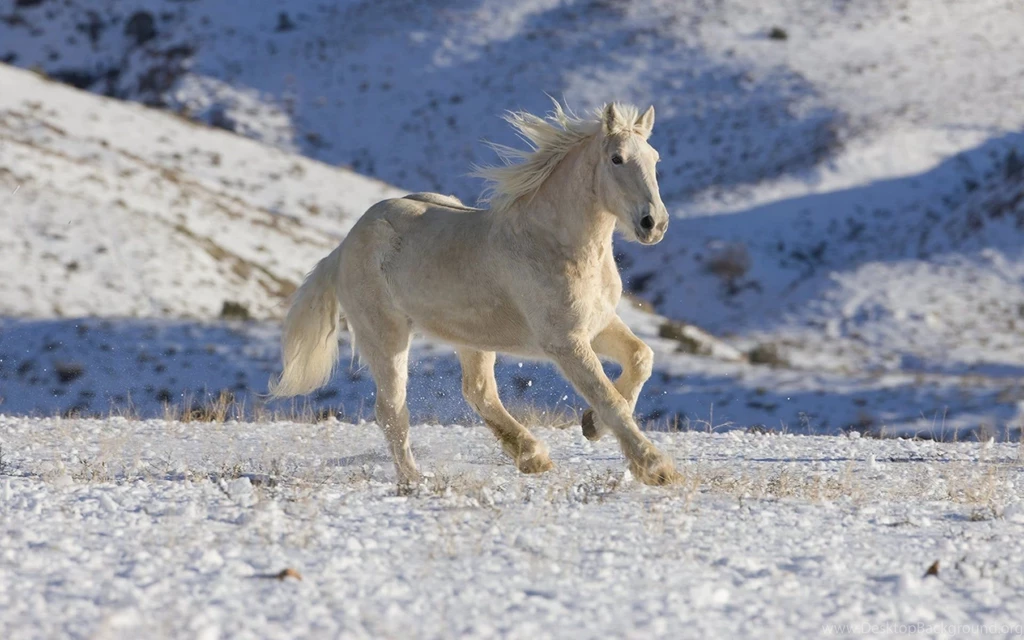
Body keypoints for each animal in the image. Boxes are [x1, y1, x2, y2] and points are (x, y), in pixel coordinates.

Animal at [269, 101, 678, 485]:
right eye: (616, 158)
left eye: (655, 158)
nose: (653, 224)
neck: (554, 243)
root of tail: (342, 248)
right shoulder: (565, 341)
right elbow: (608, 397)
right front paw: (656, 468)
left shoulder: (598, 323)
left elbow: (640, 359)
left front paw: (591, 425)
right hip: (385, 336)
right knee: (391, 410)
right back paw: (414, 479)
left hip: (472, 337)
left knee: (478, 391)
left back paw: (532, 457)